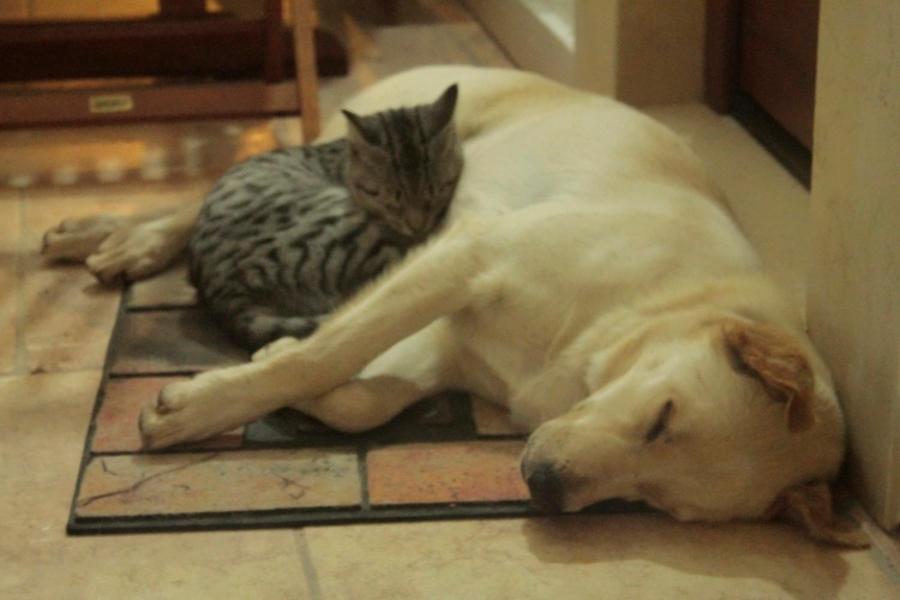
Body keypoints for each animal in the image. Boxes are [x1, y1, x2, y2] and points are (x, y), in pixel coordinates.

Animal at [188, 84, 462, 350]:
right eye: (387, 199)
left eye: (439, 190)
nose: (418, 226)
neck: (345, 162)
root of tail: (226, 297)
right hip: (347, 230)